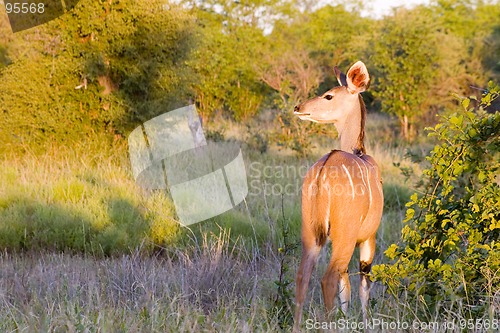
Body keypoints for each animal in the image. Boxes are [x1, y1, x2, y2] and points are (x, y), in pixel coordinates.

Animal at [292, 61, 382, 328]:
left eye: (329, 95)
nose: (298, 107)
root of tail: (323, 171)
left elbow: (346, 288)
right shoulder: (367, 237)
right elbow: (362, 286)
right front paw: (365, 324)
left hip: (313, 235)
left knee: (303, 276)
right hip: (345, 237)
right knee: (329, 278)